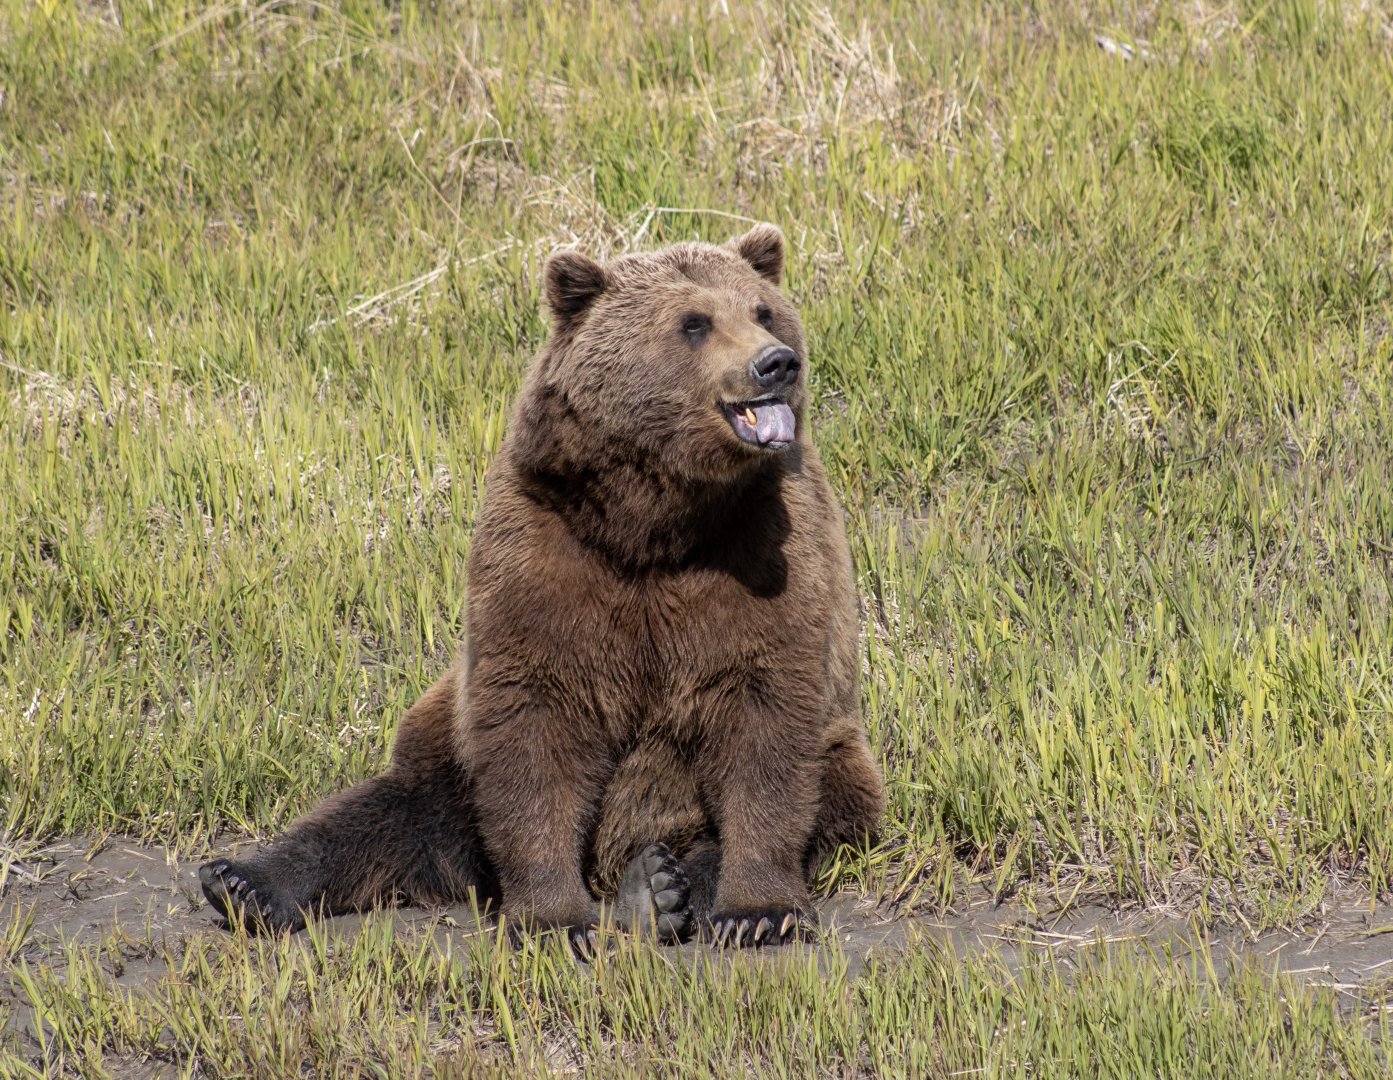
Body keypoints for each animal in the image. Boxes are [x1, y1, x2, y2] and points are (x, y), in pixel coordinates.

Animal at [199, 225, 884, 952]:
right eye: (694, 323)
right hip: (445, 747)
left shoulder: (762, 546)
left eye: (763, 311)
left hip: (834, 753)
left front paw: (758, 910)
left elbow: (765, 720)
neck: (655, 519)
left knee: (826, 796)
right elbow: (534, 722)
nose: (776, 362)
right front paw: (554, 920)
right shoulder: (547, 545)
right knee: (388, 811)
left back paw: (659, 888)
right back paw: (243, 880)